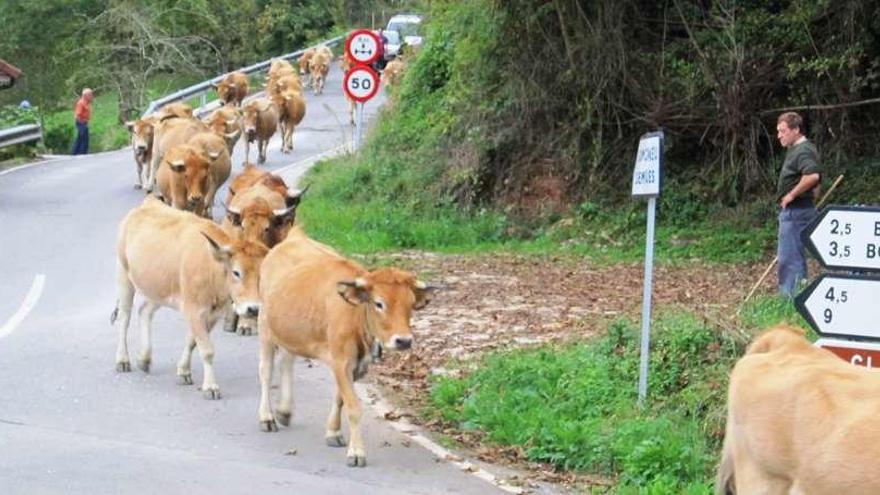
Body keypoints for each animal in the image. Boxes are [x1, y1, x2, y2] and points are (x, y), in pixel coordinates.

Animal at [111, 197, 268, 400]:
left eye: (261, 274)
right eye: (236, 272)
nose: (253, 309)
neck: (211, 266)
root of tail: (148, 202)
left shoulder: (213, 313)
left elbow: (193, 342)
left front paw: (184, 371)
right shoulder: (195, 309)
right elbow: (207, 350)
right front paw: (210, 387)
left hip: (159, 288)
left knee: (144, 311)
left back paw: (144, 358)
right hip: (124, 275)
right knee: (124, 317)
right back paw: (122, 360)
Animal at [256, 229, 434, 468]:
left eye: (411, 304)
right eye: (379, 303)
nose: (404, 341)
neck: (356, 316)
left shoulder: (356, 365)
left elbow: (340, 398)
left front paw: (333, 432)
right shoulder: (341, 362)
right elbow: (354, 406)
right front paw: (356, 452)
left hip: (289, 330)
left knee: (287, 361)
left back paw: (284, 410)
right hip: (265, 327)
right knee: (266, 372)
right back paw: (267, 417)